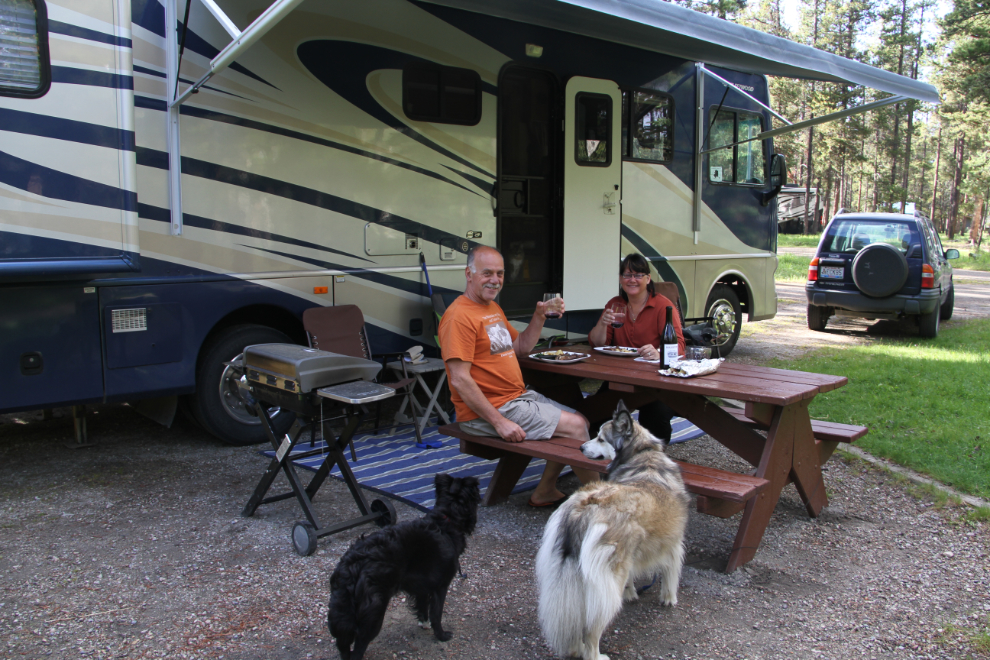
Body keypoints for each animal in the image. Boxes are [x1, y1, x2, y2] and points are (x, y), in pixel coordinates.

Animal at [330, 474, 480, 660]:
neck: (446, 520)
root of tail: (353, 564)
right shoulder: (441, 585)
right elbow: (436, 614)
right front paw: (441, 635)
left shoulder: (423, 585)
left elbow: (423, 606)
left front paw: (424, 623)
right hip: (373, 613)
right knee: (358, 648)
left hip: (345, 613)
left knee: (343, 645)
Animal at [536, 400, 688, 656]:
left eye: (600, 438)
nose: (580, 447)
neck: (644, 456)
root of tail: (584, 509)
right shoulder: (674, 540)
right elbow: (671, 570)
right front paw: (669, 598)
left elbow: (636, 578)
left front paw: (632, 593)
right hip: (607, 586)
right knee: (591, 631)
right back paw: (596, 655)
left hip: (569, 579)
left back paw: (575, 648)